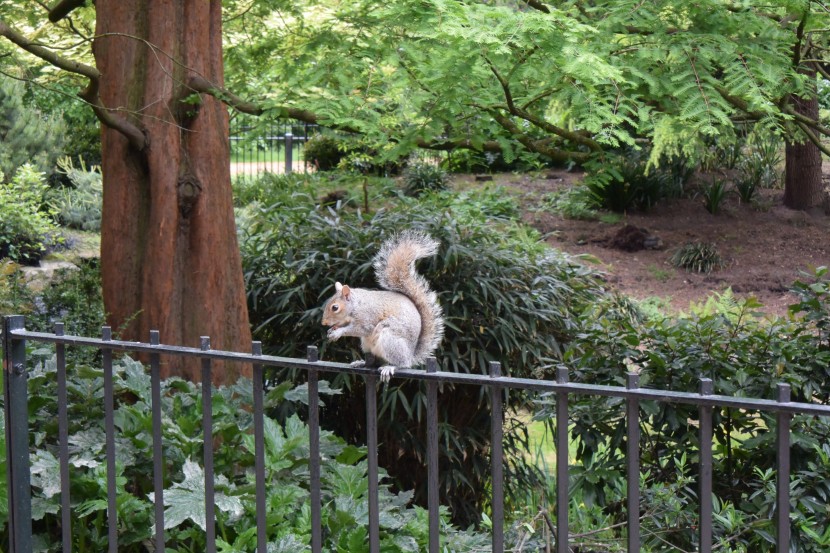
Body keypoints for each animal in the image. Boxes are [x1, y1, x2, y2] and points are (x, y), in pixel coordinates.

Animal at [322, 231, 446, 382]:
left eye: (335, 307)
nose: (324, 322)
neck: (357, 305)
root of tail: (410, 354)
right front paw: (332, 330)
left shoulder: (367, 318)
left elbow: (360, 329)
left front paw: (338, 332)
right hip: (368, 345)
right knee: (375, 361)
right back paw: (362, 363)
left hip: (389, 338)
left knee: (402, 363)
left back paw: (391, 367)